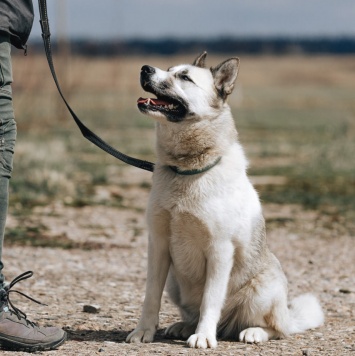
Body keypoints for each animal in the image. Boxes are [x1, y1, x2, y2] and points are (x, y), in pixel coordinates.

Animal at [126, 52, 326, 348]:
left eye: (184, 77)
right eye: (169, 69)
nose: (145, 68)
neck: (186, 170)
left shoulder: (219, 250)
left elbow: (211, 300)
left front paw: (203, 337)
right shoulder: (158, 245)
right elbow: (150, 296)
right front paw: (144, 331)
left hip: (261, 290)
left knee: (277, 328)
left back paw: (251, 332)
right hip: (175, 281)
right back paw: (185, 326)